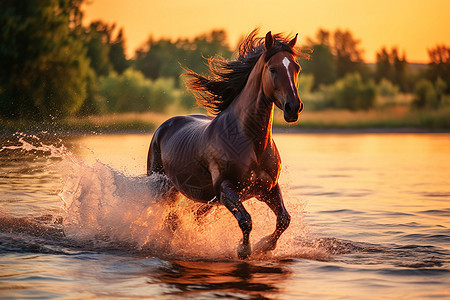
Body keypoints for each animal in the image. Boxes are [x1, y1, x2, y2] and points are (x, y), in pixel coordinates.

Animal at [148, 29, 310, 258]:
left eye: (296, 67)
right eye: (273, 68)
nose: (293, 108)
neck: (252, 143)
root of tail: (164, 126)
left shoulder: (267, 188)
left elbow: (284, 219)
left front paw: (264, 246)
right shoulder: (226, 189)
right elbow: (246, 220)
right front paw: (244, 249)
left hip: (205, 199)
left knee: (185, 219)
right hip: (161, 187)